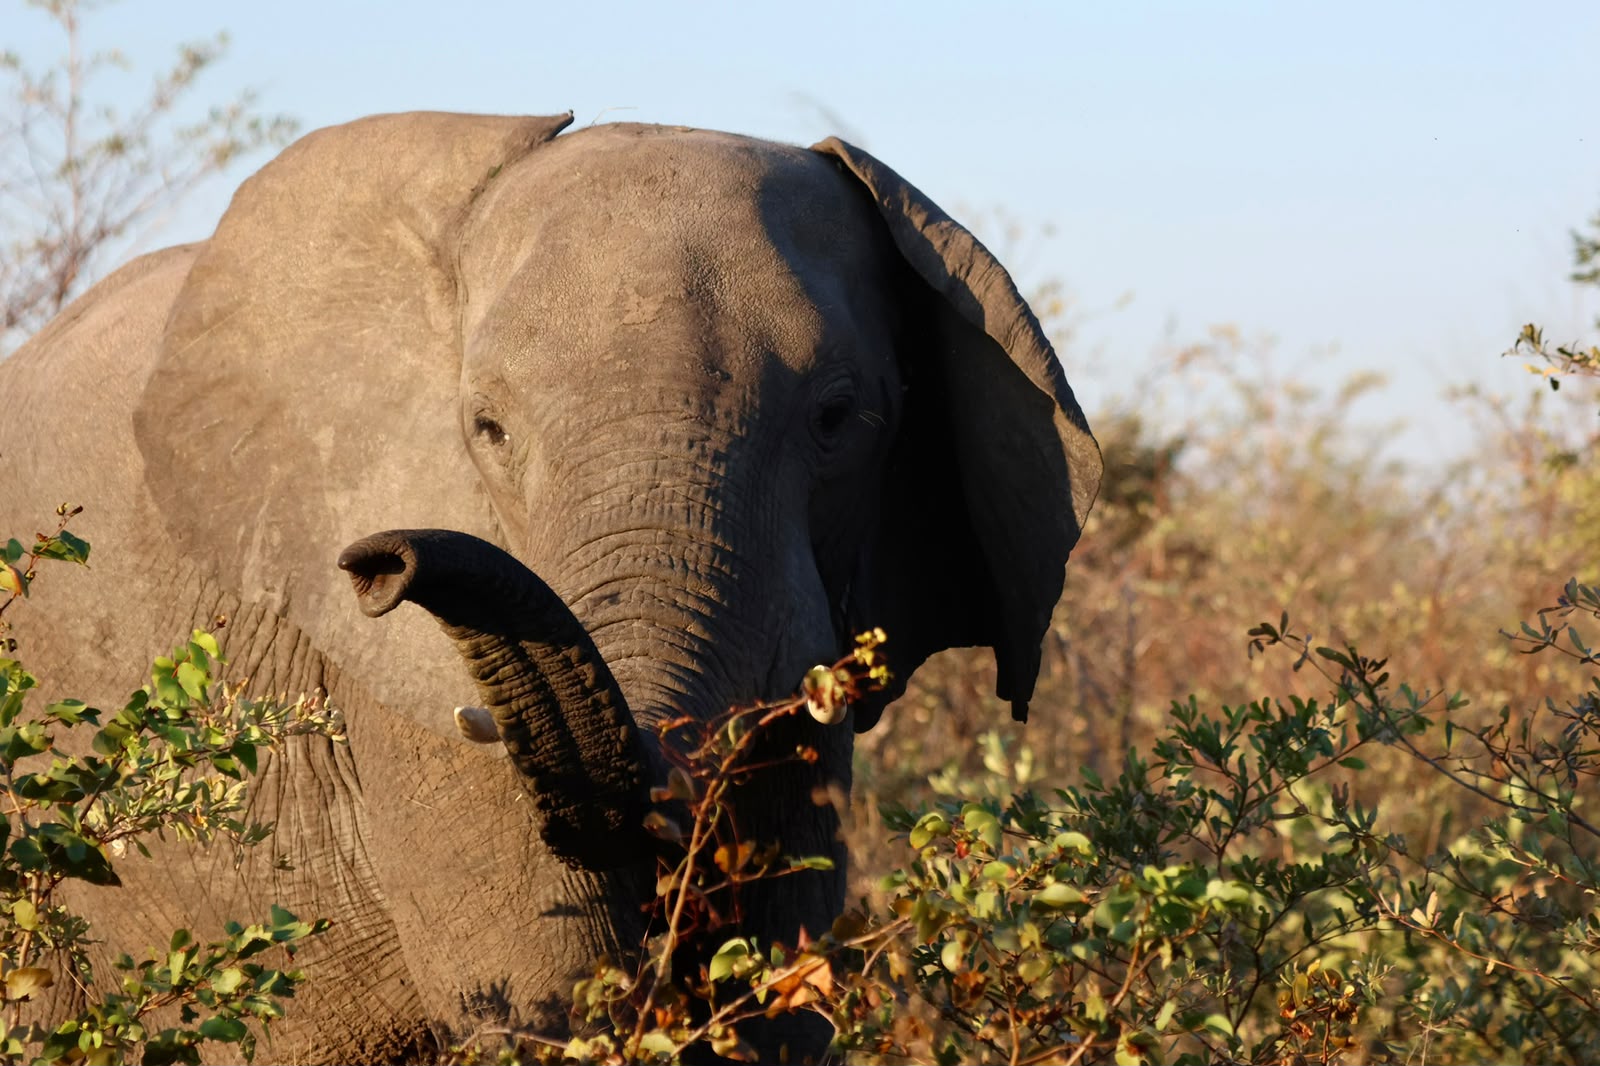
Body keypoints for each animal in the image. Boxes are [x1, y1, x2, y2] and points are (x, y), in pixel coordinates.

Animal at [0, 110, 1101, 1063]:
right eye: (485, 428)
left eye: (839, 418)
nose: (380, 565)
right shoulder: (402, 702)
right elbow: (552, 988)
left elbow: (772, 993)